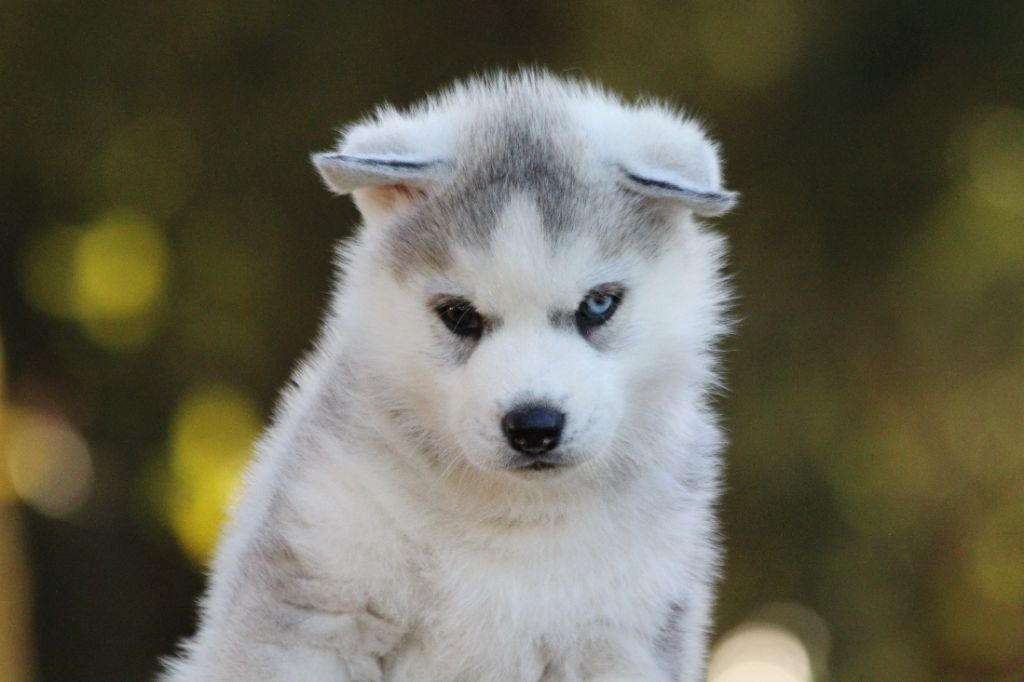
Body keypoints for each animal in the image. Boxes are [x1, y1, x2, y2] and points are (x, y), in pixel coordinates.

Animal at [160, 70, 737, 681]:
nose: (534, 426)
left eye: (598, 305)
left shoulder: (624, 634)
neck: (510, 523)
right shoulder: (319, 598)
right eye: (459, 315)